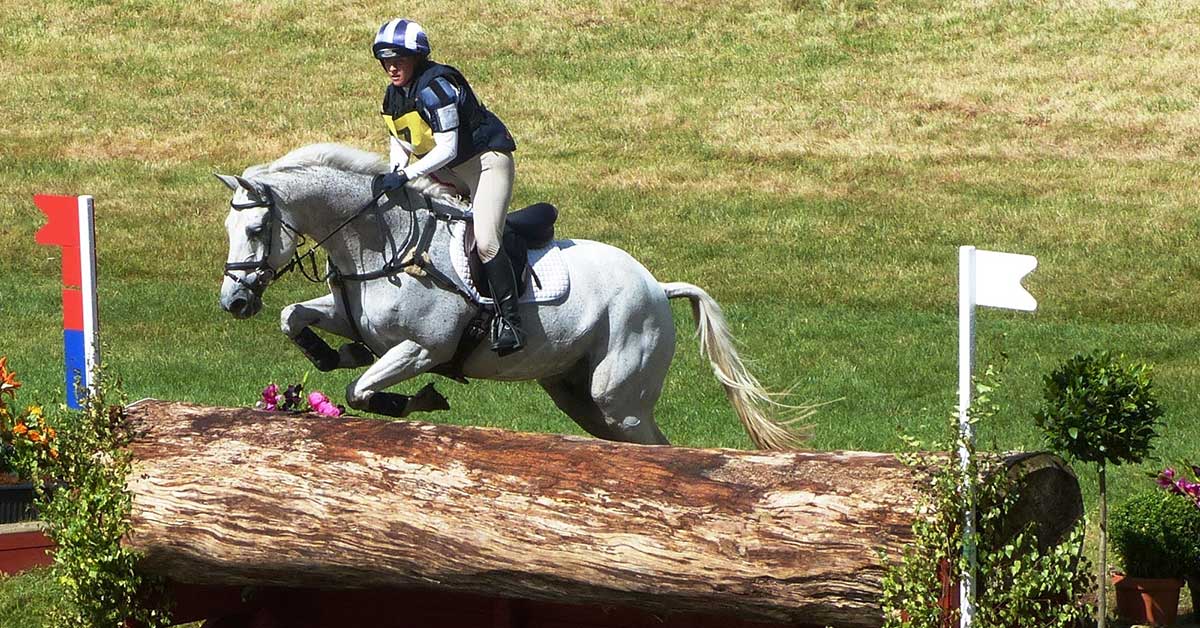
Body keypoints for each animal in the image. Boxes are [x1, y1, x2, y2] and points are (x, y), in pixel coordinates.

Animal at [217, 143, 810, 449]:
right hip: (575, 393)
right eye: (227, 229)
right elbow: (295, 318)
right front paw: (330, 354)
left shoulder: (425, 348)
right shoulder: (350, 315)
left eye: (255, 230)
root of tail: (657, 287)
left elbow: (361, 390)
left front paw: (421, 399)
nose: (234, 303)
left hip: (618, 397)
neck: (382, 241)